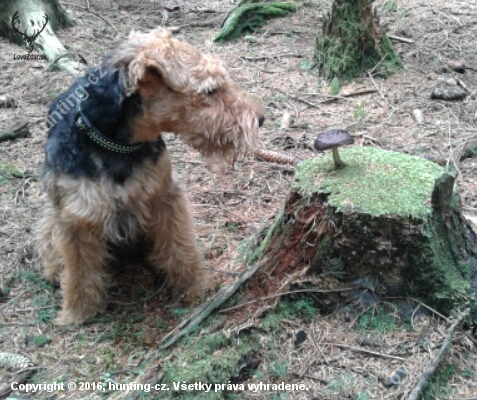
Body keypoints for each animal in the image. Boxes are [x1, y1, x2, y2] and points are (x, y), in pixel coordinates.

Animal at [35, 27, 262, 324]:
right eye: (211, 89)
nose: (259, 119)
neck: (115, 143)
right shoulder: (76, 219)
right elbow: (79, 272)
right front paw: (76, 313)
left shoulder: (164, 197)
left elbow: (179, 248)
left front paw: (194, 287)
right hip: (54, 216)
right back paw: (53, 271)